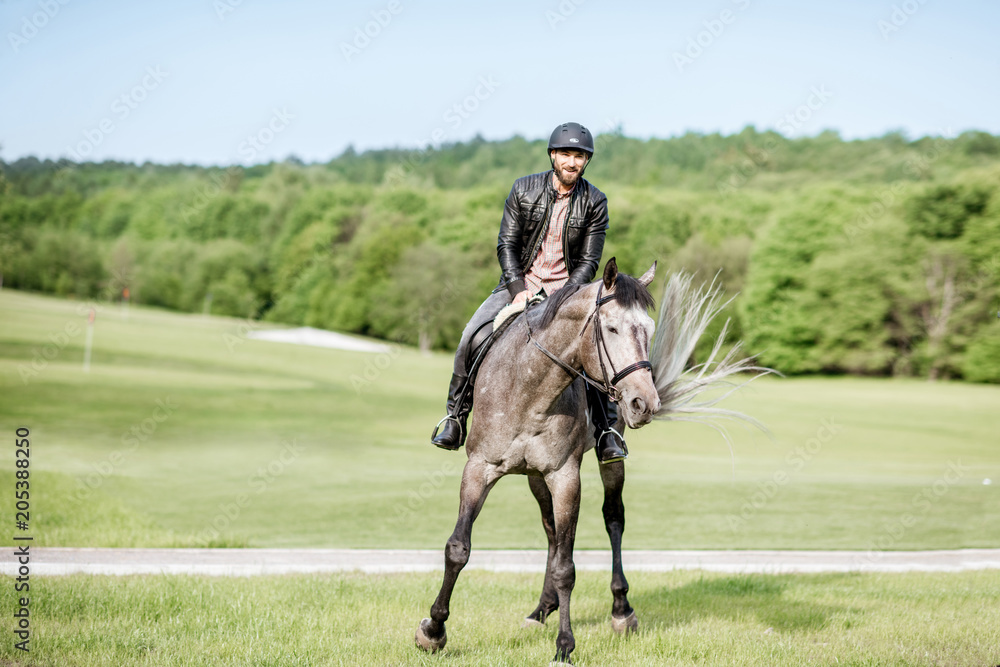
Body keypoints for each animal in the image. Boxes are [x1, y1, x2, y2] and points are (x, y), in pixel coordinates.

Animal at [414, 258, 772, 664]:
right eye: (611, 327)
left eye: (648, 329)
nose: (644, 403)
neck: (530, 388)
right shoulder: (480, 468)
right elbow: (458, 548)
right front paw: (433, 629)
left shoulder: (566, 477)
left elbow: (567, 567)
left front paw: (564, 646)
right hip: (535, 476)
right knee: (551, 533)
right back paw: (541, 610)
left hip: (608, 462)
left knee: (613, 520)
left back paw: (621, 610)